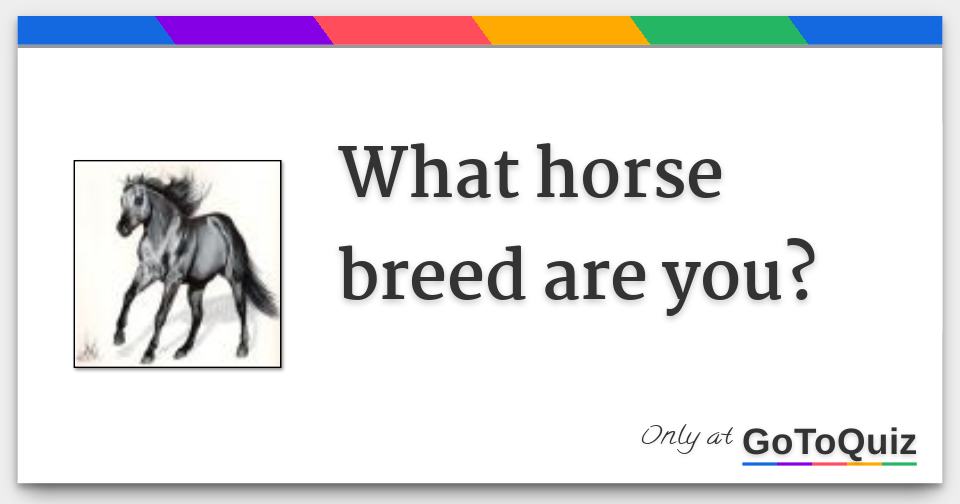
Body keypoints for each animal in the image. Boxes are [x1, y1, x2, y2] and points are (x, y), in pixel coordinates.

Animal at [113, 173, 277, 364]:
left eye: (139, 199)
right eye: (121, 200)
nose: (121, 229)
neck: (164, 238)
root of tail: (227, 225)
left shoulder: (173, 280)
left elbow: (161, 314)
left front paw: (148, 353)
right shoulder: (146, 272)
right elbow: (128, 295)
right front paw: (118, 336)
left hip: (234, 279)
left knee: (241, 309)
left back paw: (242, 348)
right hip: (196, 287)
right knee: (198, 316)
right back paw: (183, 350)